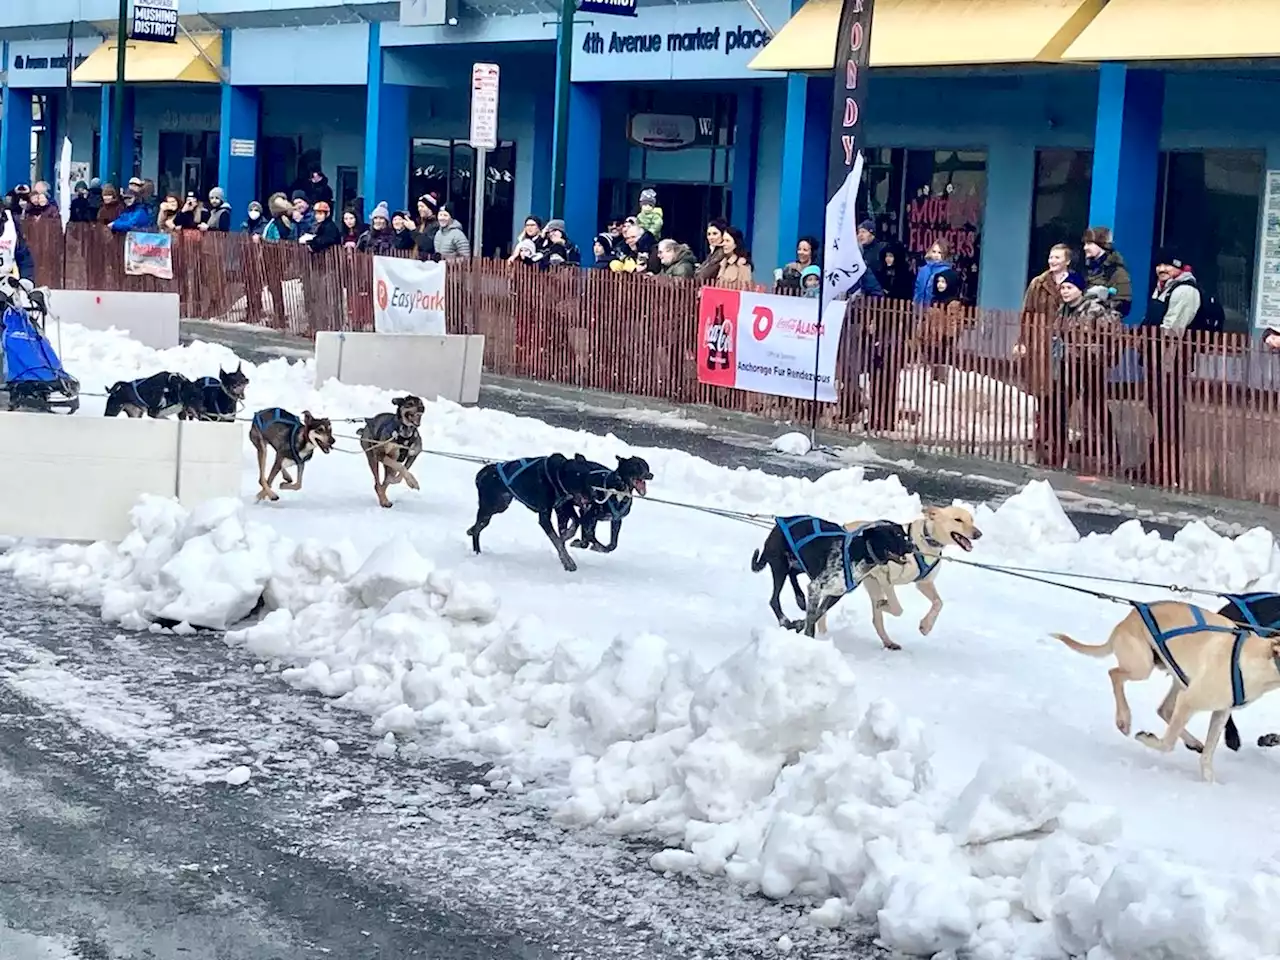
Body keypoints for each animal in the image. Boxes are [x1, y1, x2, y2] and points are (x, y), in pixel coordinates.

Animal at [747, 514, 921, 642]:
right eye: (893, 535)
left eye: (903, 535)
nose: (912, 546)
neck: (857, 552)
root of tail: (777, 524)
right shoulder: (816, 587)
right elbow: (813, 617)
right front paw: (808, 637)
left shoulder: (835, 593)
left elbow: (817, 613)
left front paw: (801, 624)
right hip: (780, 565)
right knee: (774, 599)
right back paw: (785, 619)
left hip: (799, 564)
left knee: (793, 575)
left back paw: (800, 598)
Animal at [1049, 599, 1280, 783]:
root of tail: (1127, 618)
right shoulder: (1189, 700)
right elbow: (1167, 744)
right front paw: (1147, 738)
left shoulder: (1220, 712)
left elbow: (1207, 754)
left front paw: (1209, 782)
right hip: (1143, 667)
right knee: (1114, 674)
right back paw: (1124, 718)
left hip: (1177, 677)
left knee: (1164, 709)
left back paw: (1193, 741)